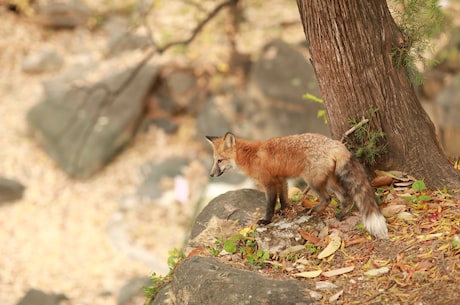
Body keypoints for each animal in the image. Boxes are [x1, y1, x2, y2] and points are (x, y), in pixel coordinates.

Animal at [205, 132, 388, 239]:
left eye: (219, 161)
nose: (211, 175)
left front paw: (266, 221)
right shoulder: (281, 180)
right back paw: (340, 215)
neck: (251, 156)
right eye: (215, 160)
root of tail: (335, 143)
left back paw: (312, 211)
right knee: (346, 197)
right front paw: (285, 211)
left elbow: (270, 205)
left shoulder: (269, 183)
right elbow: (284, 198)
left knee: (327, 198)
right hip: (329, 181)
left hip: (312, 181)